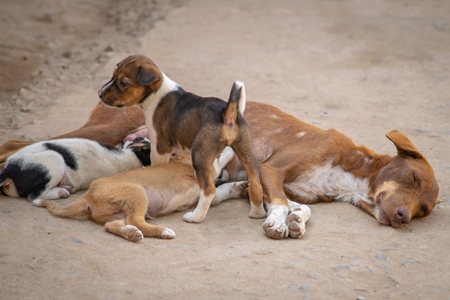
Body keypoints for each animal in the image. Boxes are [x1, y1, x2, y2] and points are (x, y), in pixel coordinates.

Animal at [33, 146, 246, 243]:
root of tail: (87, 196)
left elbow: (222, 190)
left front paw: (240, 187)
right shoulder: (203, 172)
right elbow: (218, 162)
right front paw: (229, 150)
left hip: (115, 214)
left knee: (113, 225)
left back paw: (131, 234)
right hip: (138, 193)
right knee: (136, 220)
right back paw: (162, 231)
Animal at [97, 54, 266, 223]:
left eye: (123, 83)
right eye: (113, 76)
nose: (99, 93)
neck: (157, 93)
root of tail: (226, 113)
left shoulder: (160, 146)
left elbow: (157, 163)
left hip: (200, 156)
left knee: (208, 190)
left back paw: (195, 217)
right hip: (247, 152)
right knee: (256, 185)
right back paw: (257, 213)